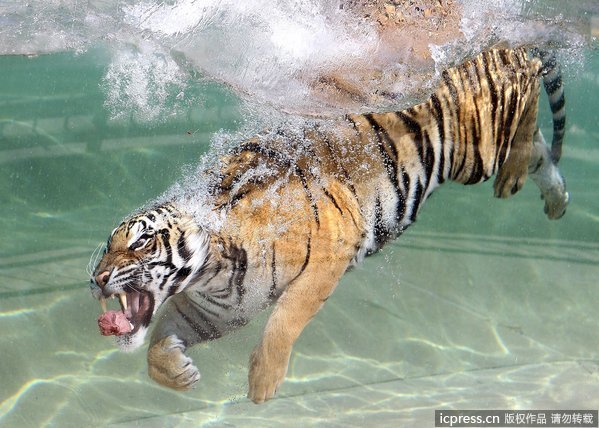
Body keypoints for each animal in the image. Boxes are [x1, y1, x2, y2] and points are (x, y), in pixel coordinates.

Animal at [90, 47, 572, 404]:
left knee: (529, 98)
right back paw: (557, 200)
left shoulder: (328, 253)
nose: (96, 278)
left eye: (141, 241)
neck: (214, 268)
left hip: (478, 148)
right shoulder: (219, 308)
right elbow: (161, 335)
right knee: (541, 150)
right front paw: (176, 373)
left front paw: (263, 384)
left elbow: (285, 318)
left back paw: (515, 174)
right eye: (107, 245)